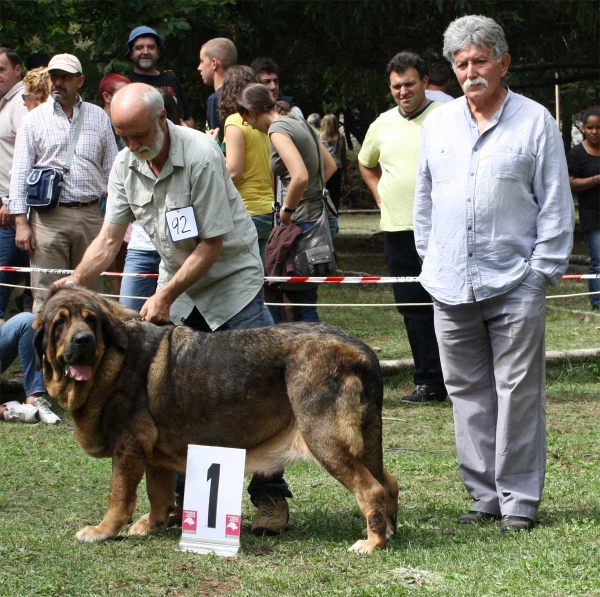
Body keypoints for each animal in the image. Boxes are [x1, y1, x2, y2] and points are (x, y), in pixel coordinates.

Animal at [32, 286, 398, 552]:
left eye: (90, 321)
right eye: (60, 323)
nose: (83, 340)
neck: (112, 357)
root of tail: (361, 349)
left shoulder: (127, 447)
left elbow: (118, 497)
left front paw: (103, 530)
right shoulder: (153, 456)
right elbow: (158, 494)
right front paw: (152, 525)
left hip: (325, 439)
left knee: (371, 489)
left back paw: (372, 543)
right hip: (362, 442)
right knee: (388, 482)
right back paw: (390, 530)